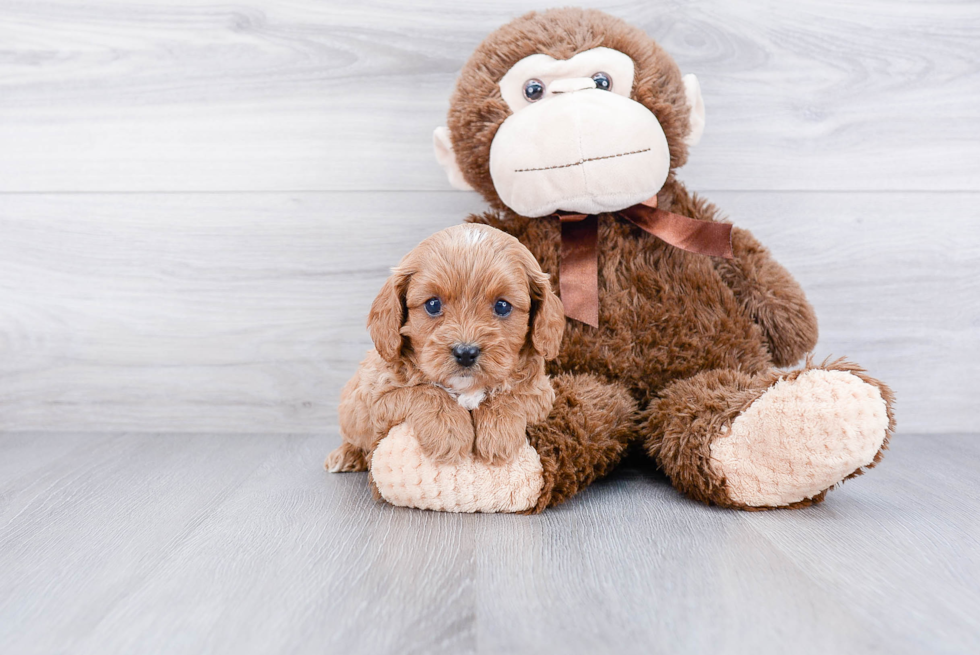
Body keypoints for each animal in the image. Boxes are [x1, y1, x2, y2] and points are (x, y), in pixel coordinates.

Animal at [326, 224, 564, 472]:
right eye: (433, 304)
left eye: (502, 306)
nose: (466, 353)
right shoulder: (374, 395)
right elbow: (426, 391)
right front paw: (449, 431)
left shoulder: (541, 392)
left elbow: (510, 395)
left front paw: (499, 433)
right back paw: (346, 455)